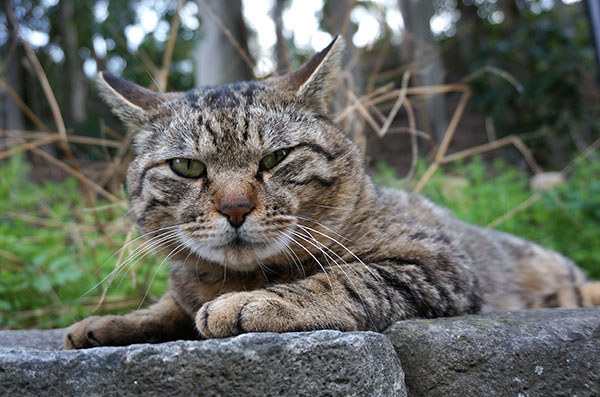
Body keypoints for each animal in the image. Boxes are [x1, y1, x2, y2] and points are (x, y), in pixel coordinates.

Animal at [63, 36, 596, 346]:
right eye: (187, 167)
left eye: (275, 158)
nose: (235, 208)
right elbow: (170, 306)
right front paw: (108, 323)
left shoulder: (435, 263)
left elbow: (345, 279)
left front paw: (251, 304)